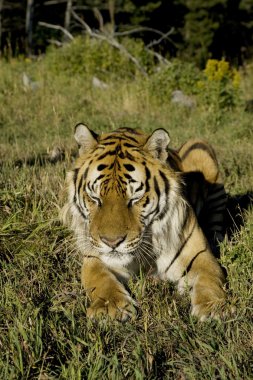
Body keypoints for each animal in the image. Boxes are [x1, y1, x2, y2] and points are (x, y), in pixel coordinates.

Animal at [61, 124, 227, 320]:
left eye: (135, 198)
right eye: (95, 198)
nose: (112, 242)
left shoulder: (201, 255)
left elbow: (210, 279)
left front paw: (212, 308)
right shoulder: (94, 257)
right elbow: (99, 278)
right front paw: (111, 308)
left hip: (201, 147)